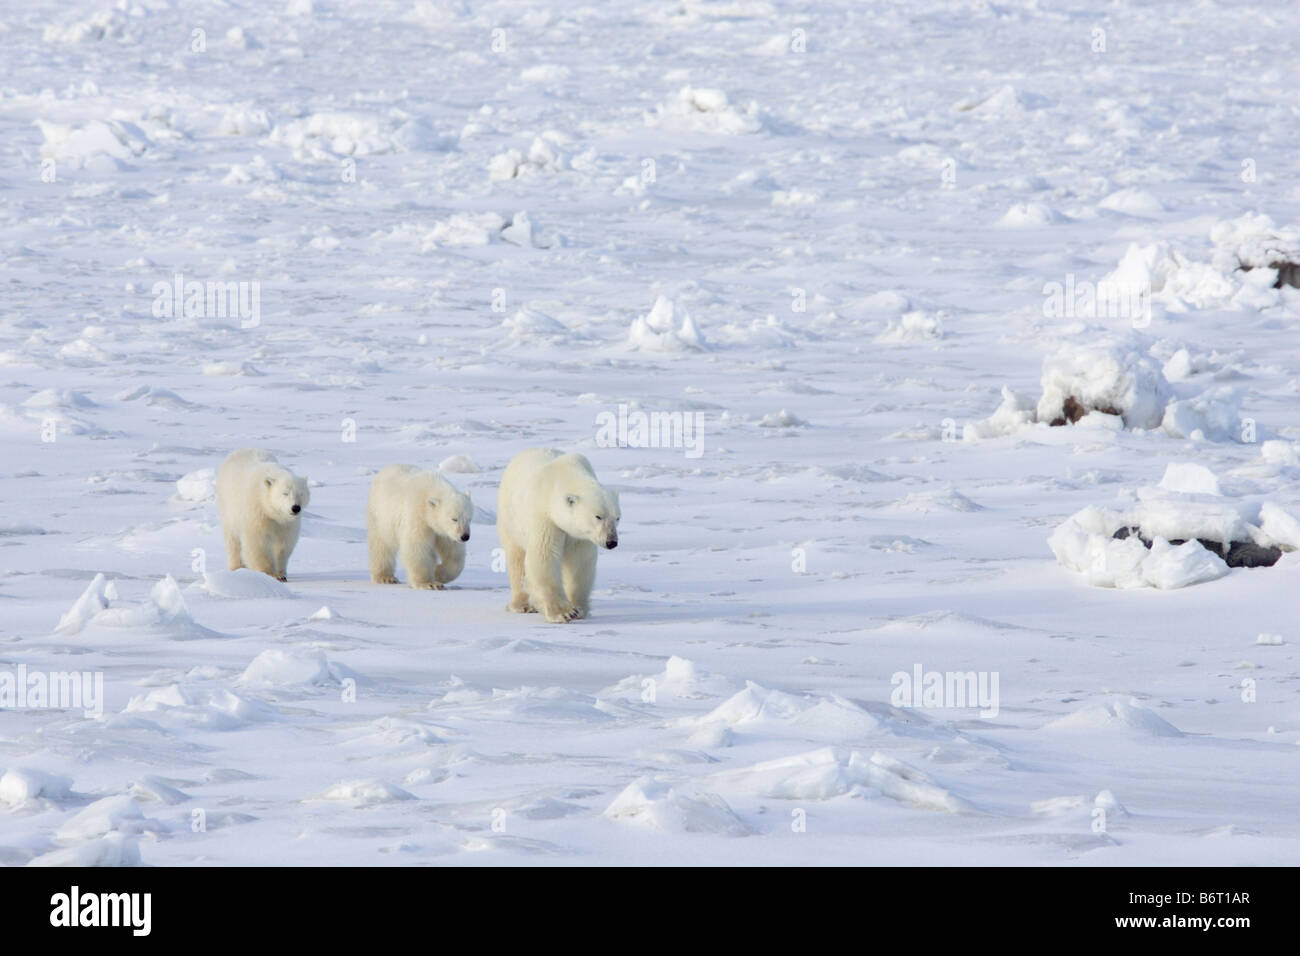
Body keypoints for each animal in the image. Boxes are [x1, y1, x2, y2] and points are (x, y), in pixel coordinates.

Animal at [216, 448, 310, 582]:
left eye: (301, 493)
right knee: (232, 538)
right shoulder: (257, 511)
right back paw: (237, 567)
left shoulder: (287, 523)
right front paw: (269, 573)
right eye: (285, 493)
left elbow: (284, 544)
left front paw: (282, 574)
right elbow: (258, 542)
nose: (296, 508)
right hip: (228, 505)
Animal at [496, 448, 620, 623]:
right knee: (516, 557)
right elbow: (544, 555)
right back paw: (522, 604)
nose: (611, 541)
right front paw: (564, 612)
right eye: (598, 516)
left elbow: (580, 562)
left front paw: (579, 609)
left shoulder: (578, 534)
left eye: (617, 518)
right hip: (510, 519)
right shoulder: (545, 517)